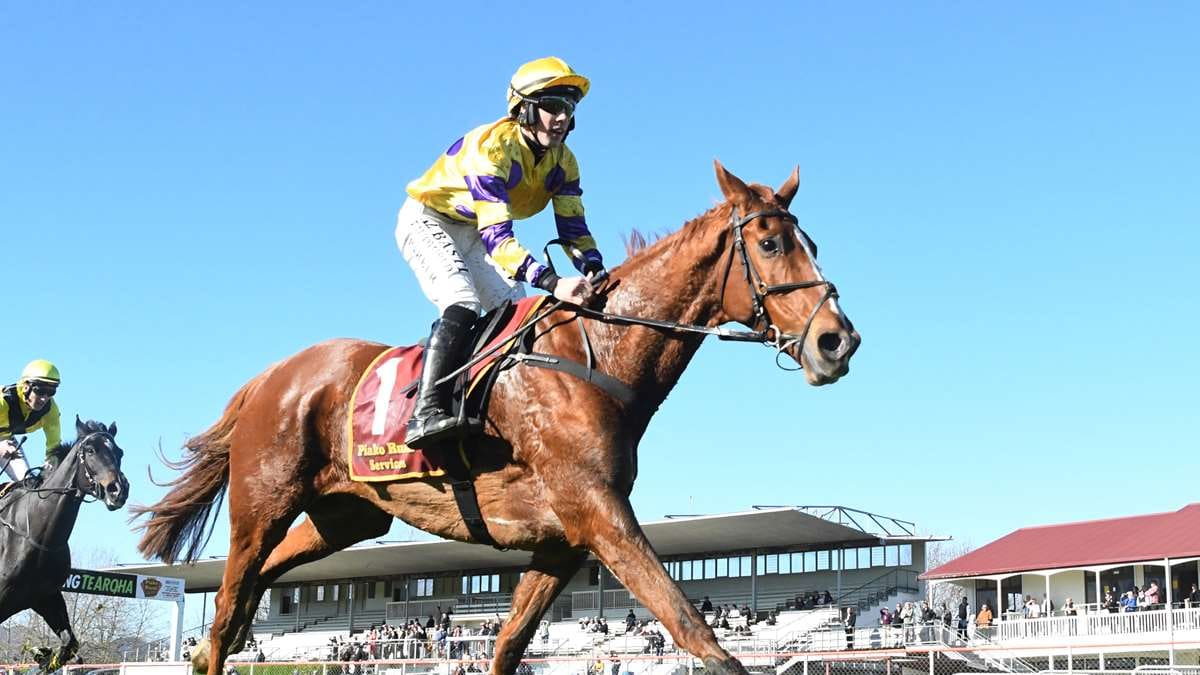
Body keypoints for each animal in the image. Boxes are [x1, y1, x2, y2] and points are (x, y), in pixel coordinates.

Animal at [0, 418, 130, 671]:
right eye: (90, 450)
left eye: (119, 452)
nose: (118, 489)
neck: (34, 536)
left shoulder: (46, 597)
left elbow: (69, 645)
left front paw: (41, 655)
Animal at [133, 161, 860, 675]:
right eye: (770, 243)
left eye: (811, 241)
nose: (838, 339)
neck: (595, 355)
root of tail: (268, 380)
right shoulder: (600, 516)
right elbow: (693, 627)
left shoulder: (563, 540)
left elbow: (507, 645)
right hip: (261, 505)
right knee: (228, 606)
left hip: (347, 516)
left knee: (253, 592)